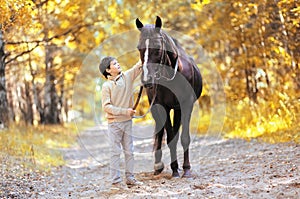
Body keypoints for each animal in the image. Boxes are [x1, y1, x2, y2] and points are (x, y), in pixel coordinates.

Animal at [137, 15, 203, 177]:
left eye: (157, 47)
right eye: (139, 48)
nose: (147, 79)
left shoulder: (186, 105)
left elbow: (184, 137)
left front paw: (186, 169)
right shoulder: (163, 107)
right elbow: (170, 138)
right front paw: (174, 169)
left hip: (177, 109)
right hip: (156, 108)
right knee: (161, 132)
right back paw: (158, 166)